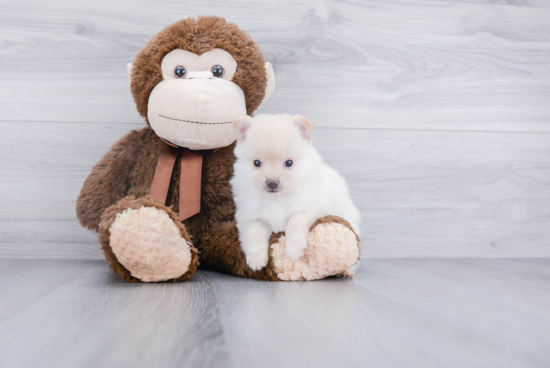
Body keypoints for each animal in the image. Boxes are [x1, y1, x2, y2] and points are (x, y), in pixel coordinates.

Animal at [230, 113, 362, 272]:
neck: (276, 198)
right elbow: (253, 235)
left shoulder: (310, 208)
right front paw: (256, 259)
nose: (272, 182)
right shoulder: (251, 217)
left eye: (289, 163)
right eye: (257, 163)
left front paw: (294, 250)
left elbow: (295, 222)